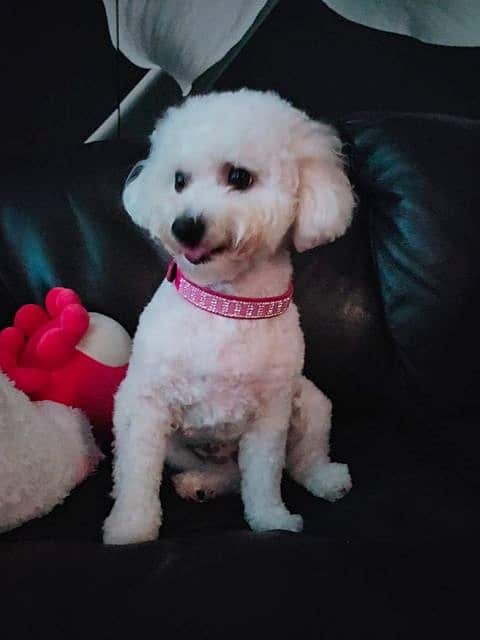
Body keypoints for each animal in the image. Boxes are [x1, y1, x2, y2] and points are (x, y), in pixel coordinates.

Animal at [103, 87, 354, 544]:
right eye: (178, 181)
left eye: (239, 177)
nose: (184, 226)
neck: (226, 304)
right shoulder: (144, 404)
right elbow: (136, 476)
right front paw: (130, 529)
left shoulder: (270, 415)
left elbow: (264, 477)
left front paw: (272, 521)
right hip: (178, 447)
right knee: (223, 473)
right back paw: (199, 483)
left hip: (309, 402)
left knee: (296, 461)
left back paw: (327, 480)